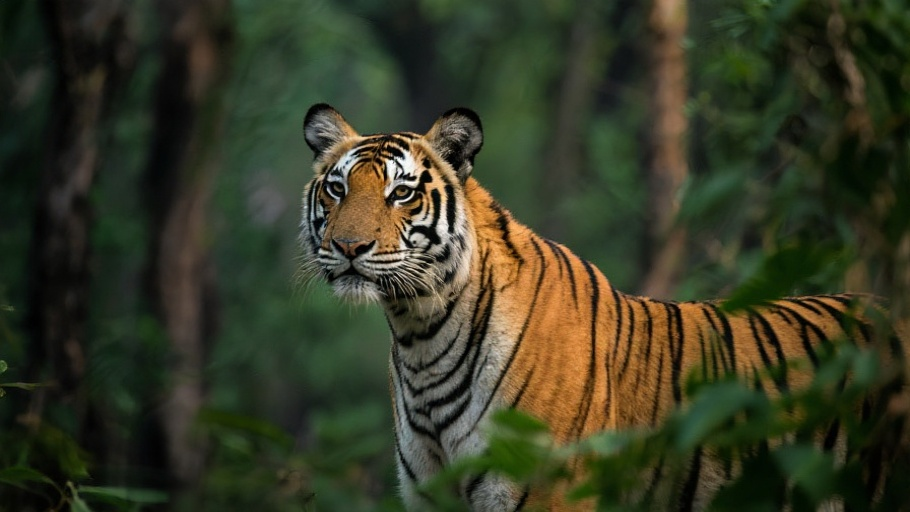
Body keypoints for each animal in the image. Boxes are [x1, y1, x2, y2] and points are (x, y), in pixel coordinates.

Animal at [298, 103, 908, 511]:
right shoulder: (431, 492)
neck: (420, 332)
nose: (349, 247)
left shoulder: (543, 490)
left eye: (401, 193)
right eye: (337, 188)